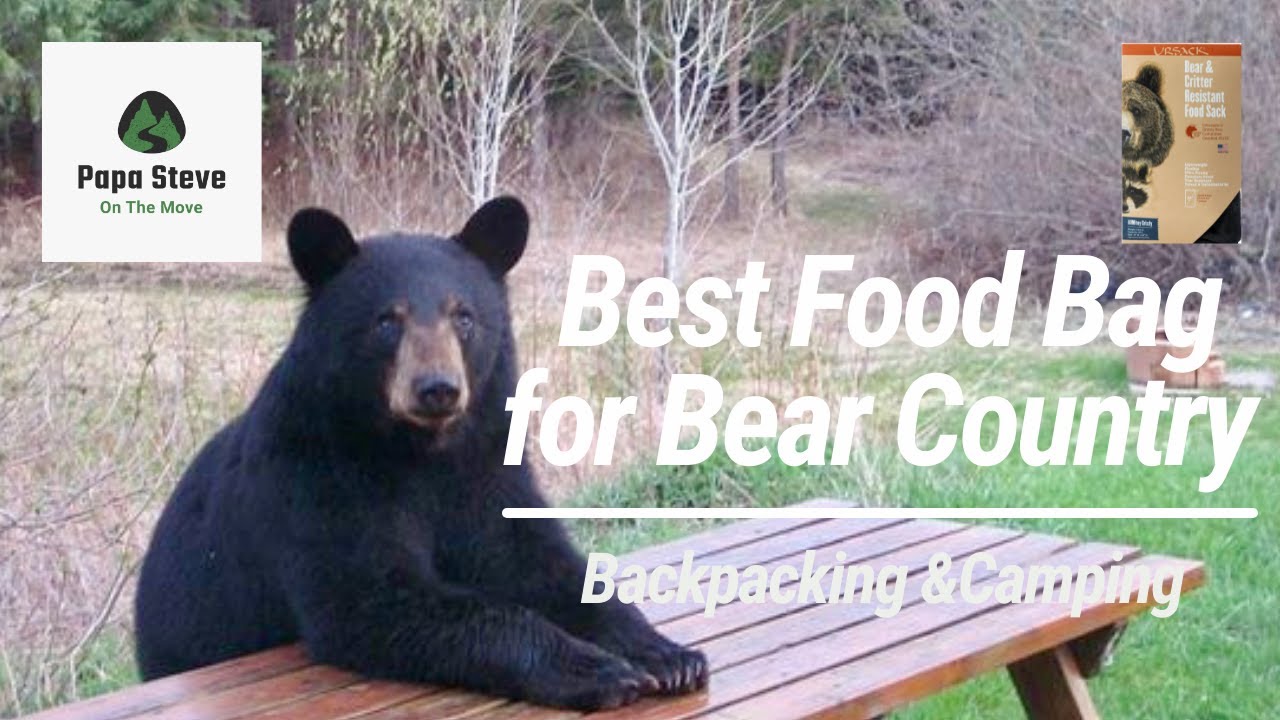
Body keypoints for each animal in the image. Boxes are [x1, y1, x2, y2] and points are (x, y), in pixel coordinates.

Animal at [134, 197, 707, 711]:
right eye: (388, 321)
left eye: (464, 317)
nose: (438, 388)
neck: (421, 450)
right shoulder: (315, 476)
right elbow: (374, 594)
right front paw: (597, 669)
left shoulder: (486, 467)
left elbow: (536, 560)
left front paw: (666, 654)